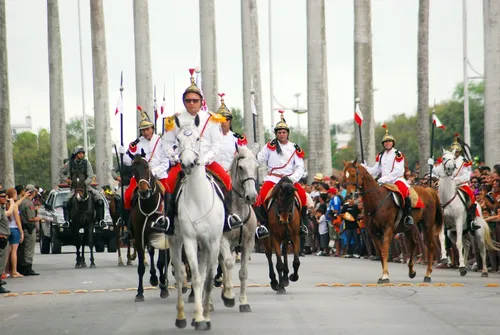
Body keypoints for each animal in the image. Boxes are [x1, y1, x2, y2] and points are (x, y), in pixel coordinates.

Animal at [169, 115, 224, 330]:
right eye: (177, 141)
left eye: (198, 139)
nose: (187, 163)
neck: (199, 199)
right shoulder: (190, 240)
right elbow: (197, 278)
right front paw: (199, 317)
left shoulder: (213, 242)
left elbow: (208, 279)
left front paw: (205, 317)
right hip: (176, 242)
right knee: (180, 275)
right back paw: (181, 317)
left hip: (205, 246)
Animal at [216, 146, 260, 314]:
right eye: (241, 167)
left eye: (257, 167)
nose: (251, 196)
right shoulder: (222, 240)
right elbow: (228, 263)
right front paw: (229, 296)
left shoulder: (248, 243)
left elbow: (243, 273)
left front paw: (243, 302)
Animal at [434, 150, 500, 278]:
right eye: (443, 158)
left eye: (453, 158)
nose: (450, 168)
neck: (447, 199)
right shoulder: (443, 223)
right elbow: (441, 238)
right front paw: (444, 258)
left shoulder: (458, 221)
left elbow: (459, 244)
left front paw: (461, 266)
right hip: (454, 233)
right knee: (467, 244)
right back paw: (463, 266)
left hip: (478, 232)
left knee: (481, 249)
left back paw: (483, 270)